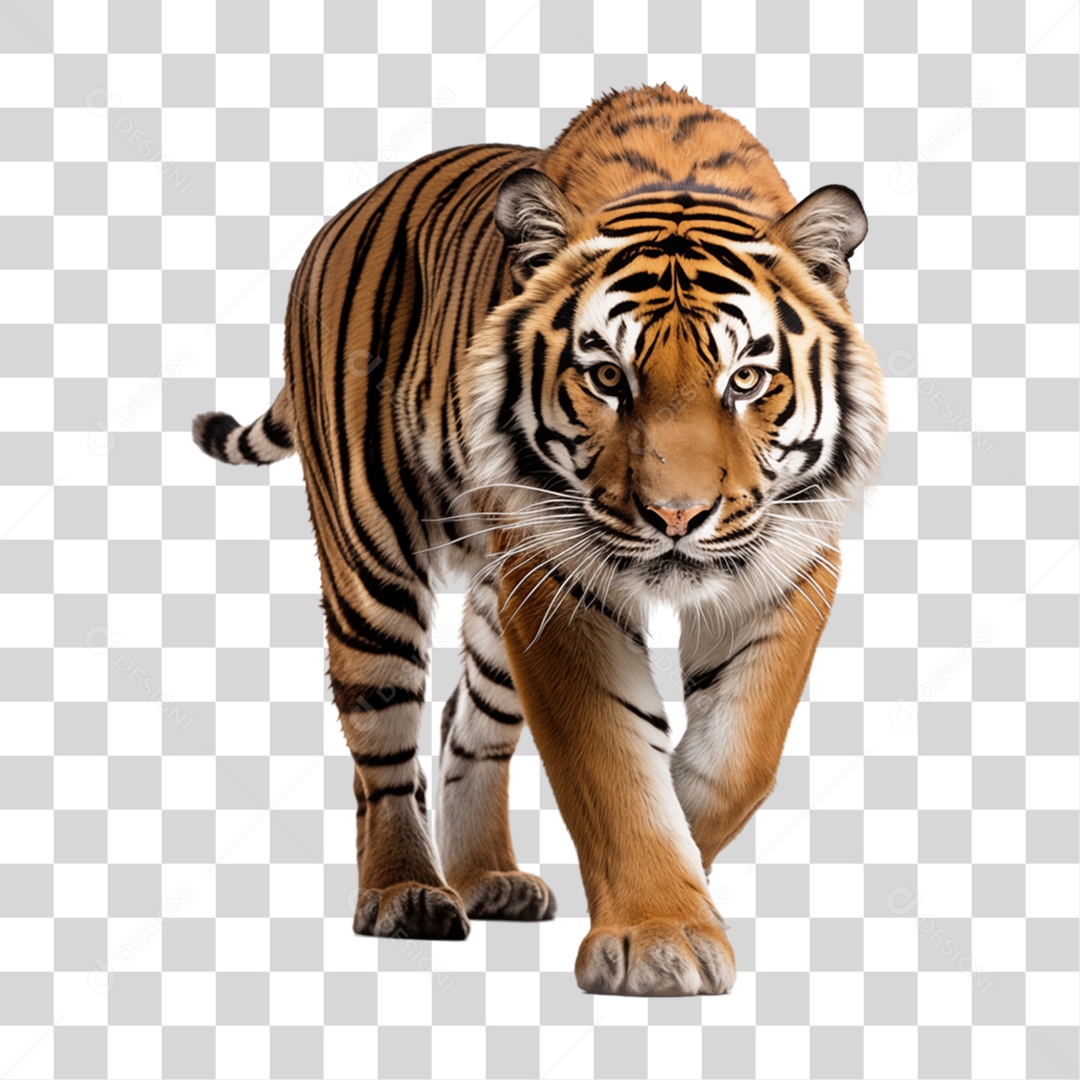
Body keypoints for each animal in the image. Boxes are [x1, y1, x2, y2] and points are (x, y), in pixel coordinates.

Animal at [193, 83, 887, 996]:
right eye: (607, 378)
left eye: (745, 379)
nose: (677, 516)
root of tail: (342, 217)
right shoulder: (561, 585)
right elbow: (612, 758)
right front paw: (660, 933)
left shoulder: (790, 560)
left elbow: (736, 756)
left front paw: (683, 869)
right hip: (371, 564)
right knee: (382, 747)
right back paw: (406, 893)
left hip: (497, 603)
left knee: (469, 721)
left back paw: (487, 878)